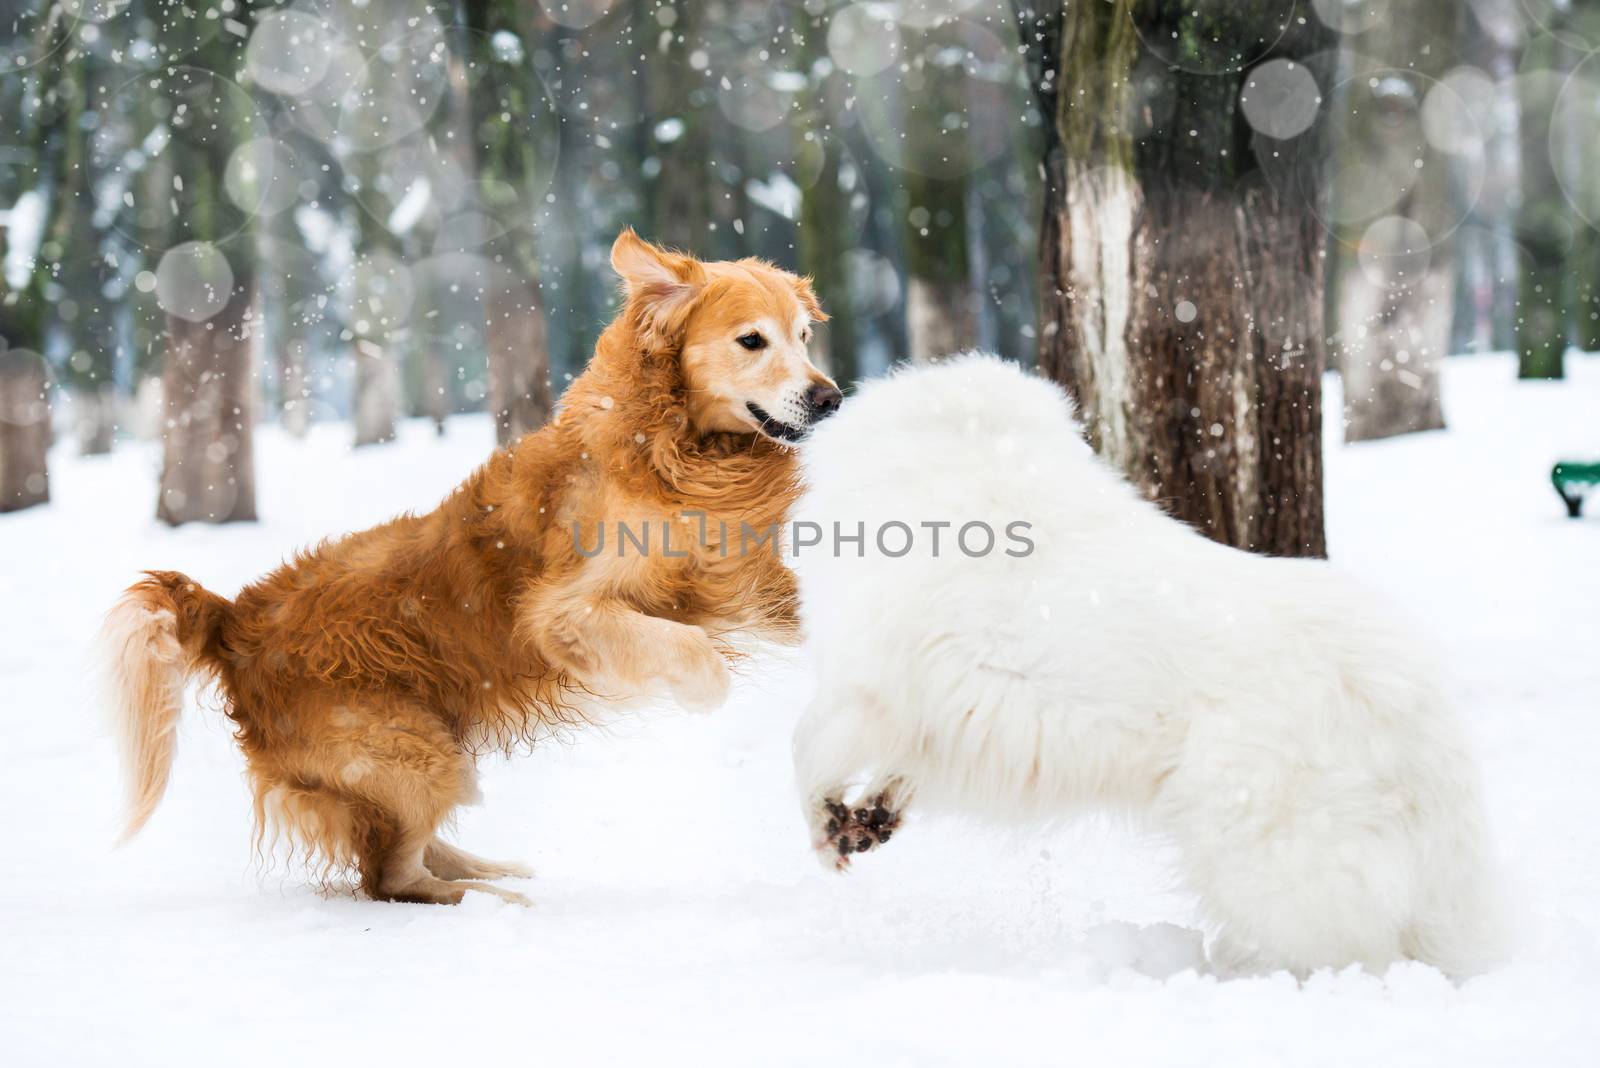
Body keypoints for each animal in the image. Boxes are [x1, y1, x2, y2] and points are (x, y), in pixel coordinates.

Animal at [104, 231, 844, 901]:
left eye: (804, 335)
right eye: (752, 341)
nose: (831, 398)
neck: (672, 448)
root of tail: (234, 617)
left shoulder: (741, 580)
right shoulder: (565, 614)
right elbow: (690, 648)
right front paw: (703, 693)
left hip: (429, 753)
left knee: (396, 851)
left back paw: (494, 870)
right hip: (412, 751)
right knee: (391, 878)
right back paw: (495, 899)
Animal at [793, 351, 1504, 978]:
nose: (824, 399)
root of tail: (1407, 695)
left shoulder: (864, 687)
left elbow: (806, 757)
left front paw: (829, 838)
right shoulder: (935, 719)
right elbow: (887, 775)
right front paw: (866, 825)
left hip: (1259, 848)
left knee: (1348, 947)